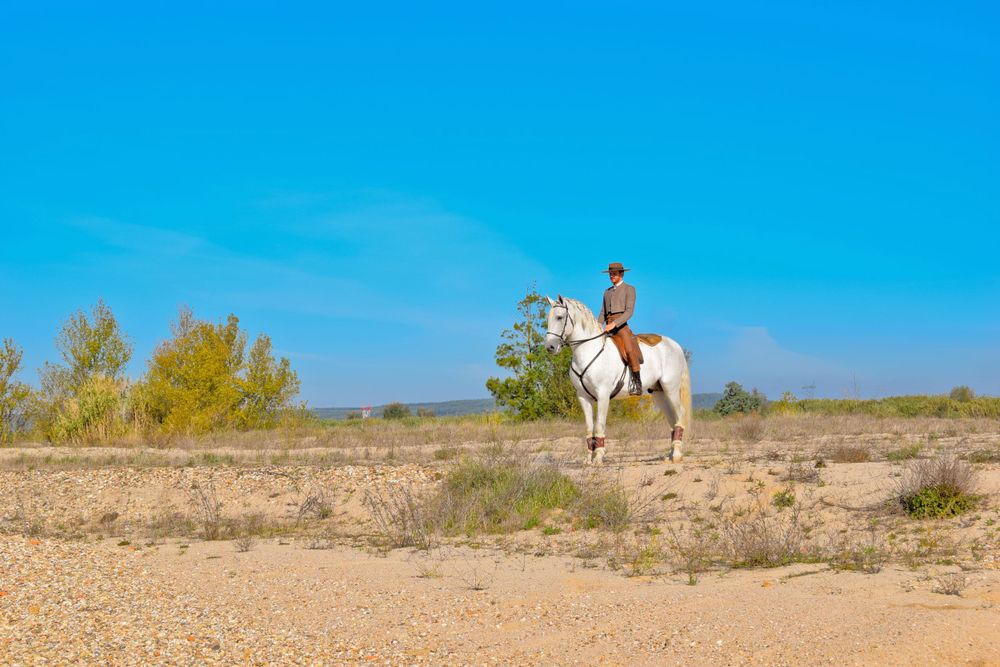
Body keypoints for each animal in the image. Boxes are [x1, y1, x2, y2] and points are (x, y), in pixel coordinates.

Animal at [544, 295, 691, 464]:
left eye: (559, 317)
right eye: (548, 318)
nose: (550, 347)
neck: (589, 350)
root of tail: (675, 345)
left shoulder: (603, 395)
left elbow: (599, 425)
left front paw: (598, 457)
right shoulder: (583, 397)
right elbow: (589, 427)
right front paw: (588, 459)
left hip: (670, 388)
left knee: (680, 414)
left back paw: (677, 455)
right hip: (658, 392)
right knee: (672, 418)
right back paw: (670, 454)